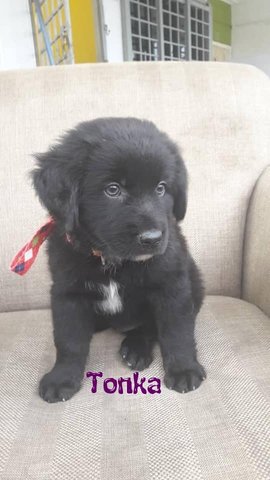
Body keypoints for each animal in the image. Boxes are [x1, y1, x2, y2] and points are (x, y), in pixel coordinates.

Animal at [32, 118, 205, 404]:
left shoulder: (172, 285)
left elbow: (175, 330)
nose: (153, 238)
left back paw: (136, 348)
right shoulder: (67, 293)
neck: (111, 260)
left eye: (161, 188)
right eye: (113, 189)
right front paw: (62, 378)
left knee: (149, 327)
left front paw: (184, 369)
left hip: (195, 281)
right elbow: (68, 340)